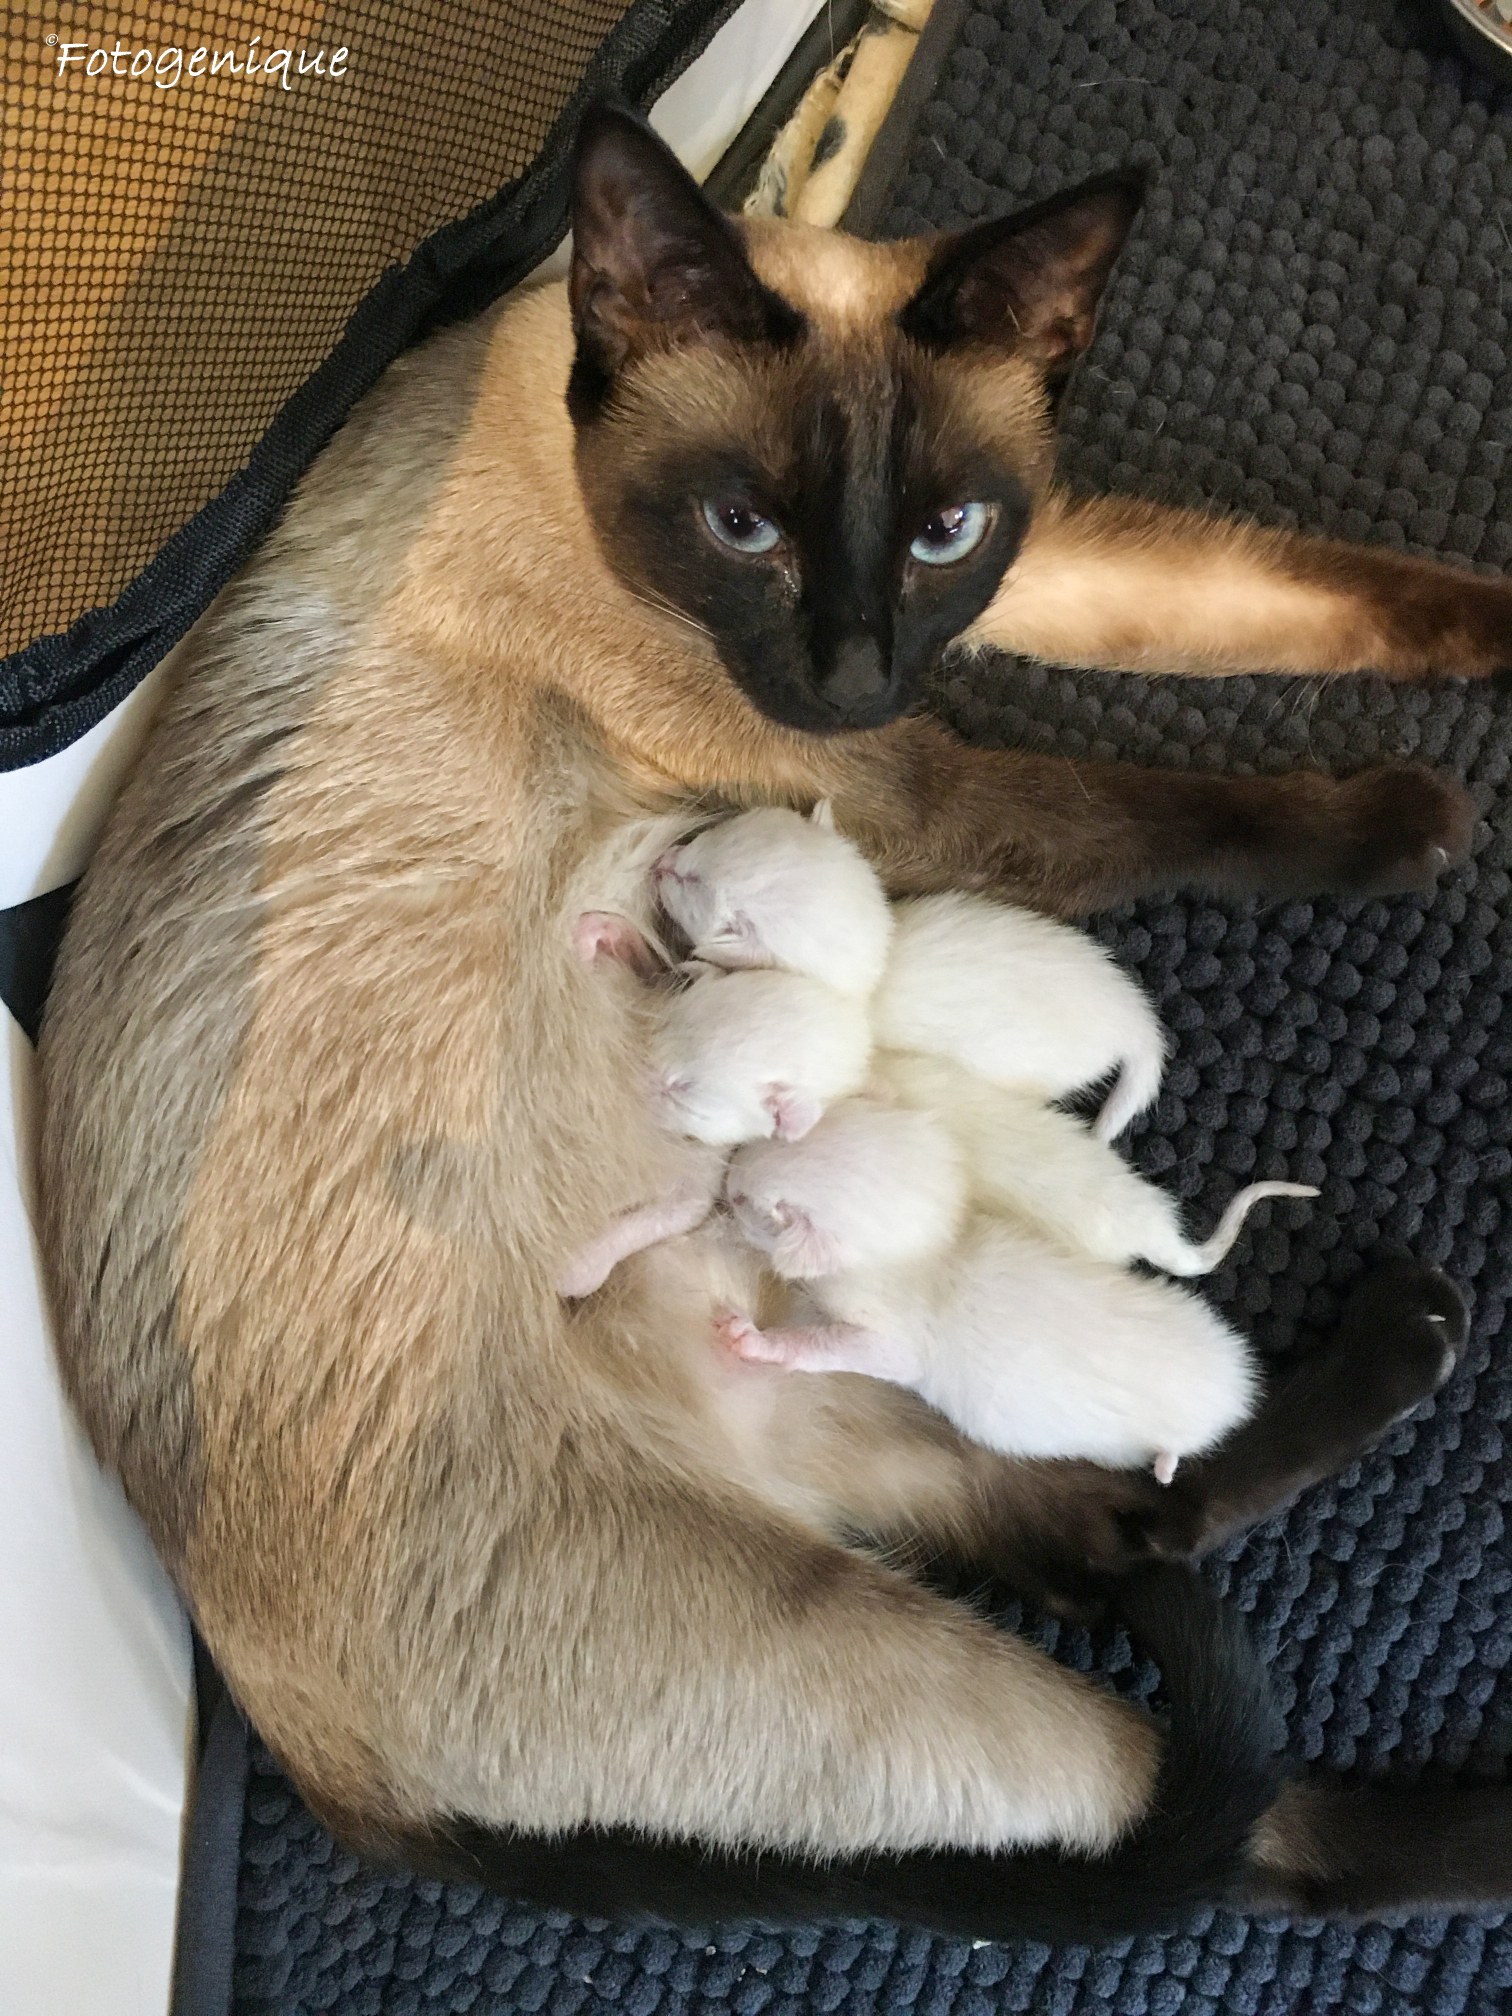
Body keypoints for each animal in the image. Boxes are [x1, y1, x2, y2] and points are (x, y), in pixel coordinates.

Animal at [35, 101, 1512, 1937]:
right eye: (744, 528)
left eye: (946, 533)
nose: (859, 670)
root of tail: (333, 1783)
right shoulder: (911, 787)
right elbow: (1170, 809)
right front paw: (1411, 823)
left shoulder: (1016, 594)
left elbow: (1282, 599)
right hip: (895, 1636)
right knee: (1233, 1818)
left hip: (862, 1379)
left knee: (1109, 1531)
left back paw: (1411, 1338)